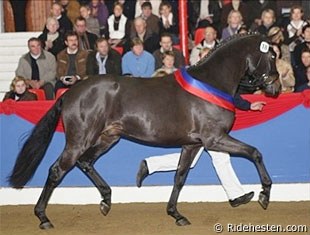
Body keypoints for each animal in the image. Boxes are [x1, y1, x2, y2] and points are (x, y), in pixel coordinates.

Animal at [8, 33, 280, 228]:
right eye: (272, 56)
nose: (275, 88)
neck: (211, 83)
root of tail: (70, 93)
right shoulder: (214, 139)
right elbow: (254, 152)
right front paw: (264, 195)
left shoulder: (192, 144)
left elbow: (180, 176)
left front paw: (176, 214)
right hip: (79, 139)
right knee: (57, 170)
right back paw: (43, 218)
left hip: (108, 138)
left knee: (85, 162)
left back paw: (106, 200)